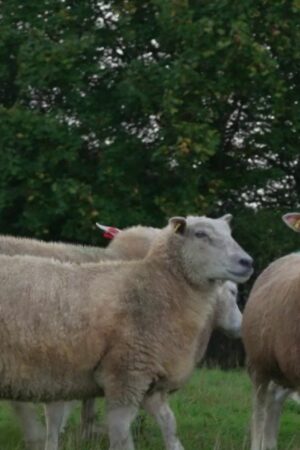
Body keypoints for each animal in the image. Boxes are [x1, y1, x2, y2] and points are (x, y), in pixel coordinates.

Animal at [0, 215, 253, 450]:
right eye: (200, 234)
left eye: (230, 233)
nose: (247, 262)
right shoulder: (124, 374)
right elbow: (119, 434)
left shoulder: (148, 379)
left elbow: (169, 424)